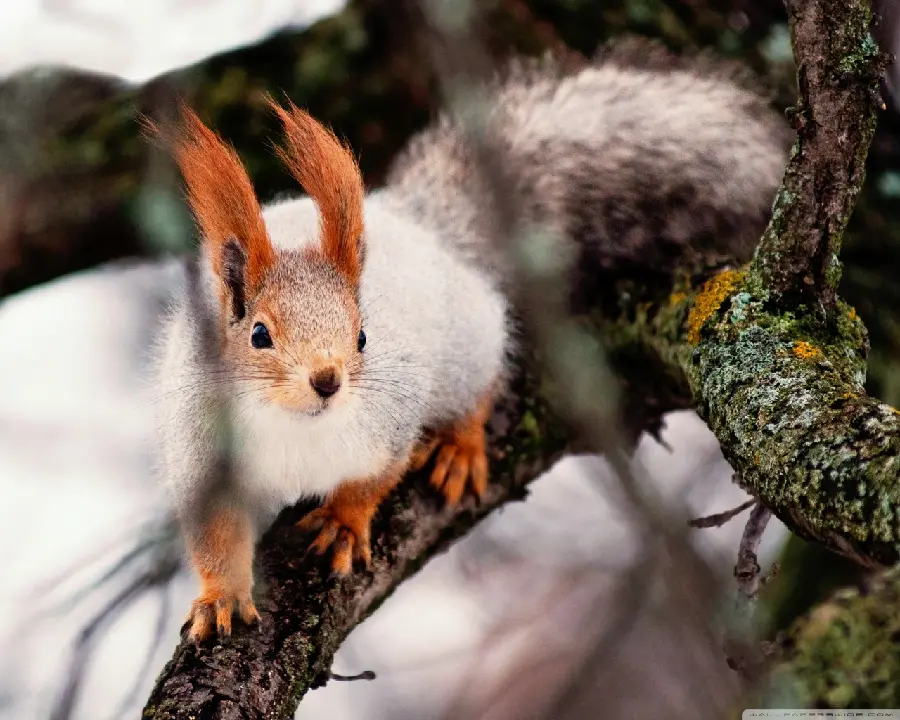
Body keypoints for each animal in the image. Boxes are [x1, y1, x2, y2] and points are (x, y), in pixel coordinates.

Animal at [151, 39, 792, 640]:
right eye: (259, 334)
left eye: (362, 336)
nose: (328, 381)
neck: (294, 427)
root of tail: (422, 225)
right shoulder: (203, 453)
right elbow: (215, 537)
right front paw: (220, 597)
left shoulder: (390, 421)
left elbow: (374, 479)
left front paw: (345, 521)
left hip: (467, 345)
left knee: (481, 381)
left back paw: (460, 445)